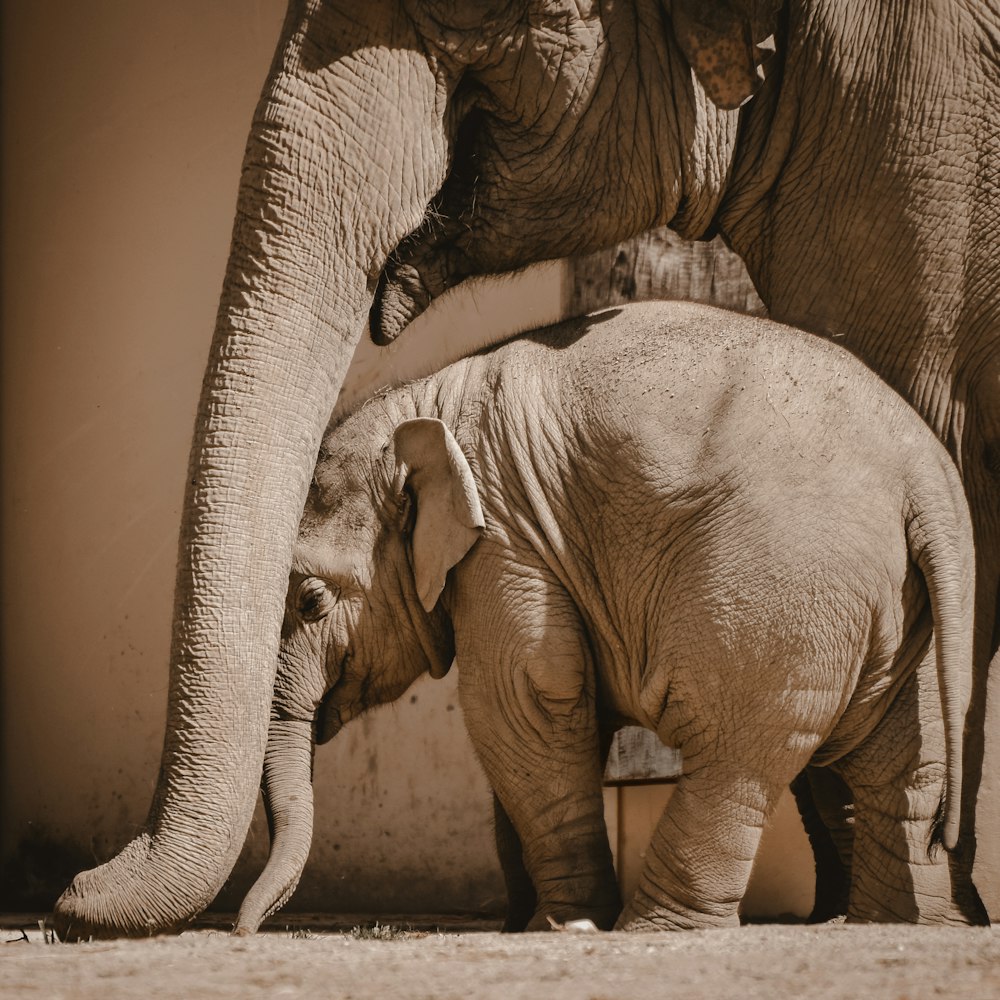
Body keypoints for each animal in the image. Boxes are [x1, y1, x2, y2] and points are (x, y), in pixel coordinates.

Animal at [232, 300, 968, 932]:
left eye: (310, 600)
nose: (243, 928)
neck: (425, 404)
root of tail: (924, 473)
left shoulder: (507, 538)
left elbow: (524, 700)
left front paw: (555, 924)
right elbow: (525, 722)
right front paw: (526, 922)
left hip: (785, 584)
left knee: (735, 757)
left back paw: (657, 926)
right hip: (907, 604)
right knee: (905, 761)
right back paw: (907, 924)